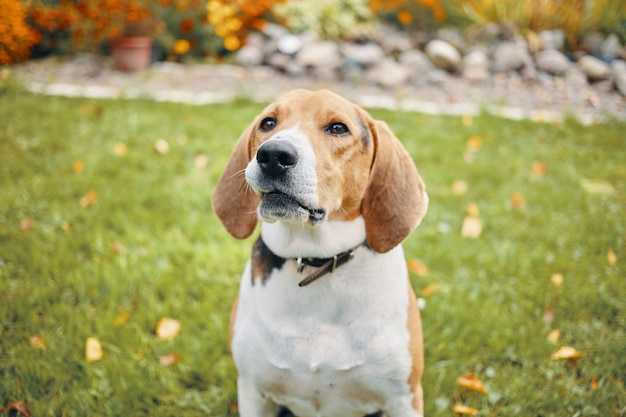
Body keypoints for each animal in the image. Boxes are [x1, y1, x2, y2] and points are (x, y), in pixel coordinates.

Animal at [212, 89, 426, 414]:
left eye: (338, 128)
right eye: (268, 123)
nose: (273, 155)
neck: (316, 263)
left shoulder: (404, 399)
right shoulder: (253, 393)